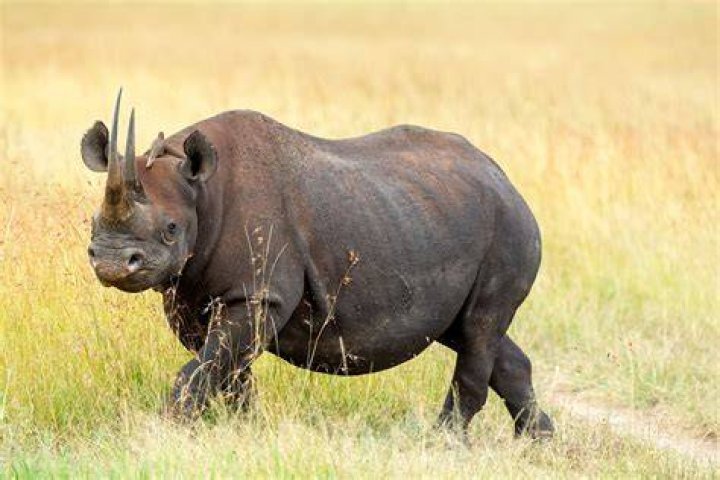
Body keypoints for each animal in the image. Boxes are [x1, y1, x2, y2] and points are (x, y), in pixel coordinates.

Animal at [81, 90, 553, 438]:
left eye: (171, 229)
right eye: (92, 223)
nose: (112, 262)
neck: (201, 191)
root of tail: (504, 177)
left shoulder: (259, 294)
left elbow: (206, 368)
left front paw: (163, 432)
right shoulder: (191, 296)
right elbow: (226, 371)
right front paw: (245, 431)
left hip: (506, 228)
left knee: (480, 326)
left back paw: (444, 444)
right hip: (439, 217)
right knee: (469, 330)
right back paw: (538, 441)